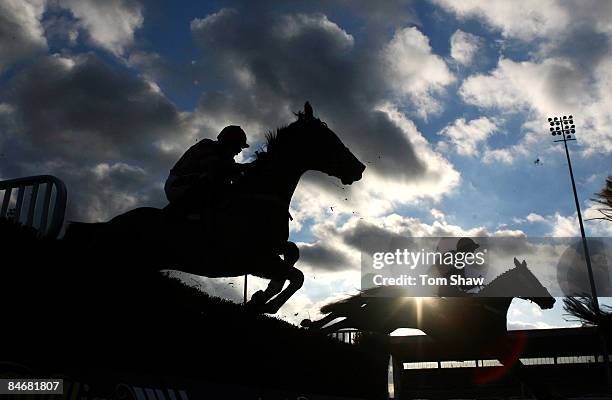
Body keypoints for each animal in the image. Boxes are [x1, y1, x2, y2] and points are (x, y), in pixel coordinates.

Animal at [64, 102, 366, 312]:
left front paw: (260, 296)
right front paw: (265, 303)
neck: (260, 197)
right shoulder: (255, 259)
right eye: (330, 139)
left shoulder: (270, 252)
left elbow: (293, 254)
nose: (360, 168)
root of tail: (106, 225)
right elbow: (297, 275)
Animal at [302, 258, 560, 398]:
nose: (550, 301)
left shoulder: (501, 348)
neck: (487, 309)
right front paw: (545, 394)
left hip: (381, 321)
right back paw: (313, 328)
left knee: (347, 315)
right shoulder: (495, 347)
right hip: (377, 320)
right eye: (531, 280)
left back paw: (312, 326)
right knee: (347, 316)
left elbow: (523, 370)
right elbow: (524, 372)